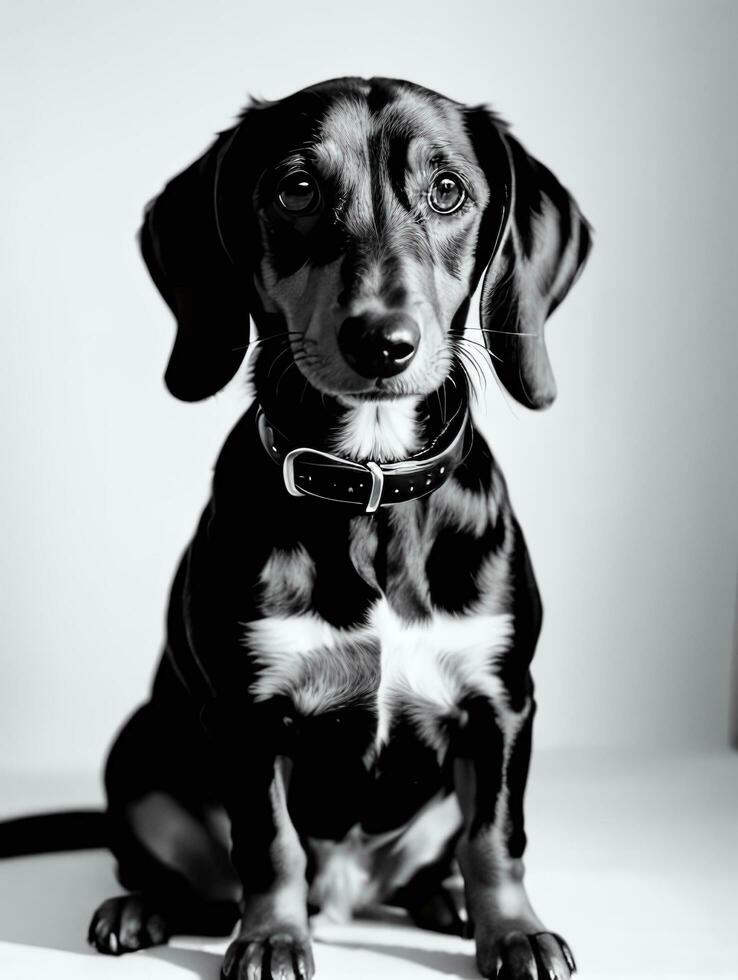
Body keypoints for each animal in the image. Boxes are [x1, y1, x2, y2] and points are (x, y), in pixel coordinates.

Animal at [25, 76, 592, 980]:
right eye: (295, 190)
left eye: (448, 191)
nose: (382, 343)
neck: (370, 493)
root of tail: (350, 896)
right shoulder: (248, 716)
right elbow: (270, 844)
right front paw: (270, 938)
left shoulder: (502, 705)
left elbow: (497, 838)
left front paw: (512, 931)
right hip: (139, 756)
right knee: (183, 875)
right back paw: (142, 907)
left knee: (436, 860)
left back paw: (446, 902)